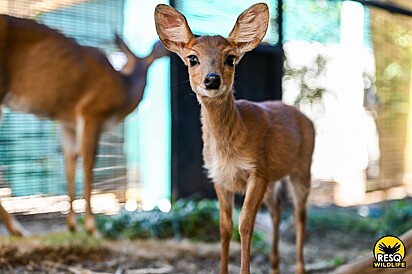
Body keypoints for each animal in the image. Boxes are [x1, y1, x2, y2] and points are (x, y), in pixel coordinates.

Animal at [0, 14, 168, 235]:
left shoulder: (67, 122)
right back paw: (18, 229)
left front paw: (72, 226)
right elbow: (88, 162)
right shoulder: (91, 112)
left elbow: (70, 163)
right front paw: (91, 227)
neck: (122, 86)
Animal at [155, 2, 316, 274]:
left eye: (230, 58)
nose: (211, 79)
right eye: (192, 59)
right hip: (275, 178)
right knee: (277, 210)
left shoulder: (257, 170)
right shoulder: (219, 177)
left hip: (302, 168)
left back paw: (300, 268)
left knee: (300, 215)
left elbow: (245, 224)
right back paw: (274, 266)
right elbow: (224, 227)